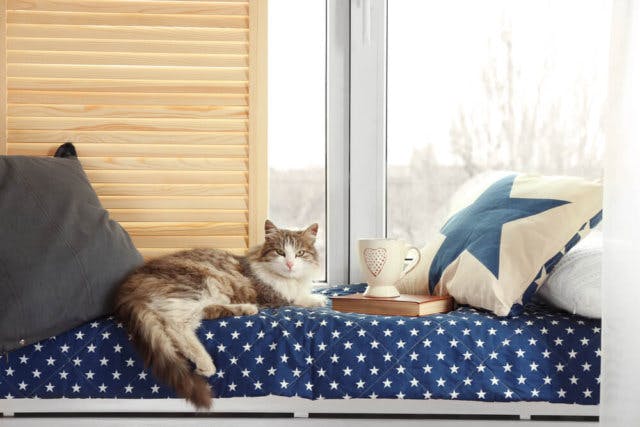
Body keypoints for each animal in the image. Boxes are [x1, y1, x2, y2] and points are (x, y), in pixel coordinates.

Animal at [114, 222, 324, 410]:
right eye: (280, 252)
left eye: (300, 253)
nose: (290, 264)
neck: (289, 279)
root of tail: (127, 288)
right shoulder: (272, 296)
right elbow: (297, 298)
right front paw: (318, 299)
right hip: (201, 282)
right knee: (175, 324)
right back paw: (206, 363)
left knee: (200, 313)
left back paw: (246, 309)